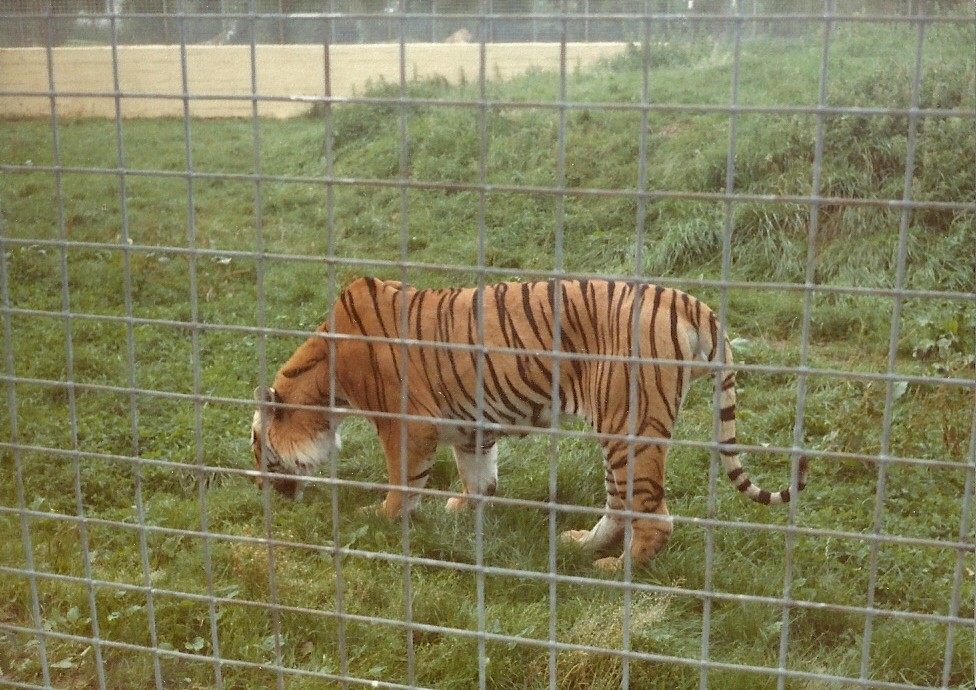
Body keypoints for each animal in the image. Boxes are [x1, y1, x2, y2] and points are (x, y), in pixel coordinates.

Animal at [250, 276, 808, 570]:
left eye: (257, 447)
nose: (257, 486)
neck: (325, 380)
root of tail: (686, 300)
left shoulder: (405, 426)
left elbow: (402, 482)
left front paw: (381, 518)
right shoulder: (471, 427)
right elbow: (478, 478)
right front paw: (462, 509)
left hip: (629, 427)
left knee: (653, 514)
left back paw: (617, 568)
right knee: (620, 503)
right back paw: (582, 545)